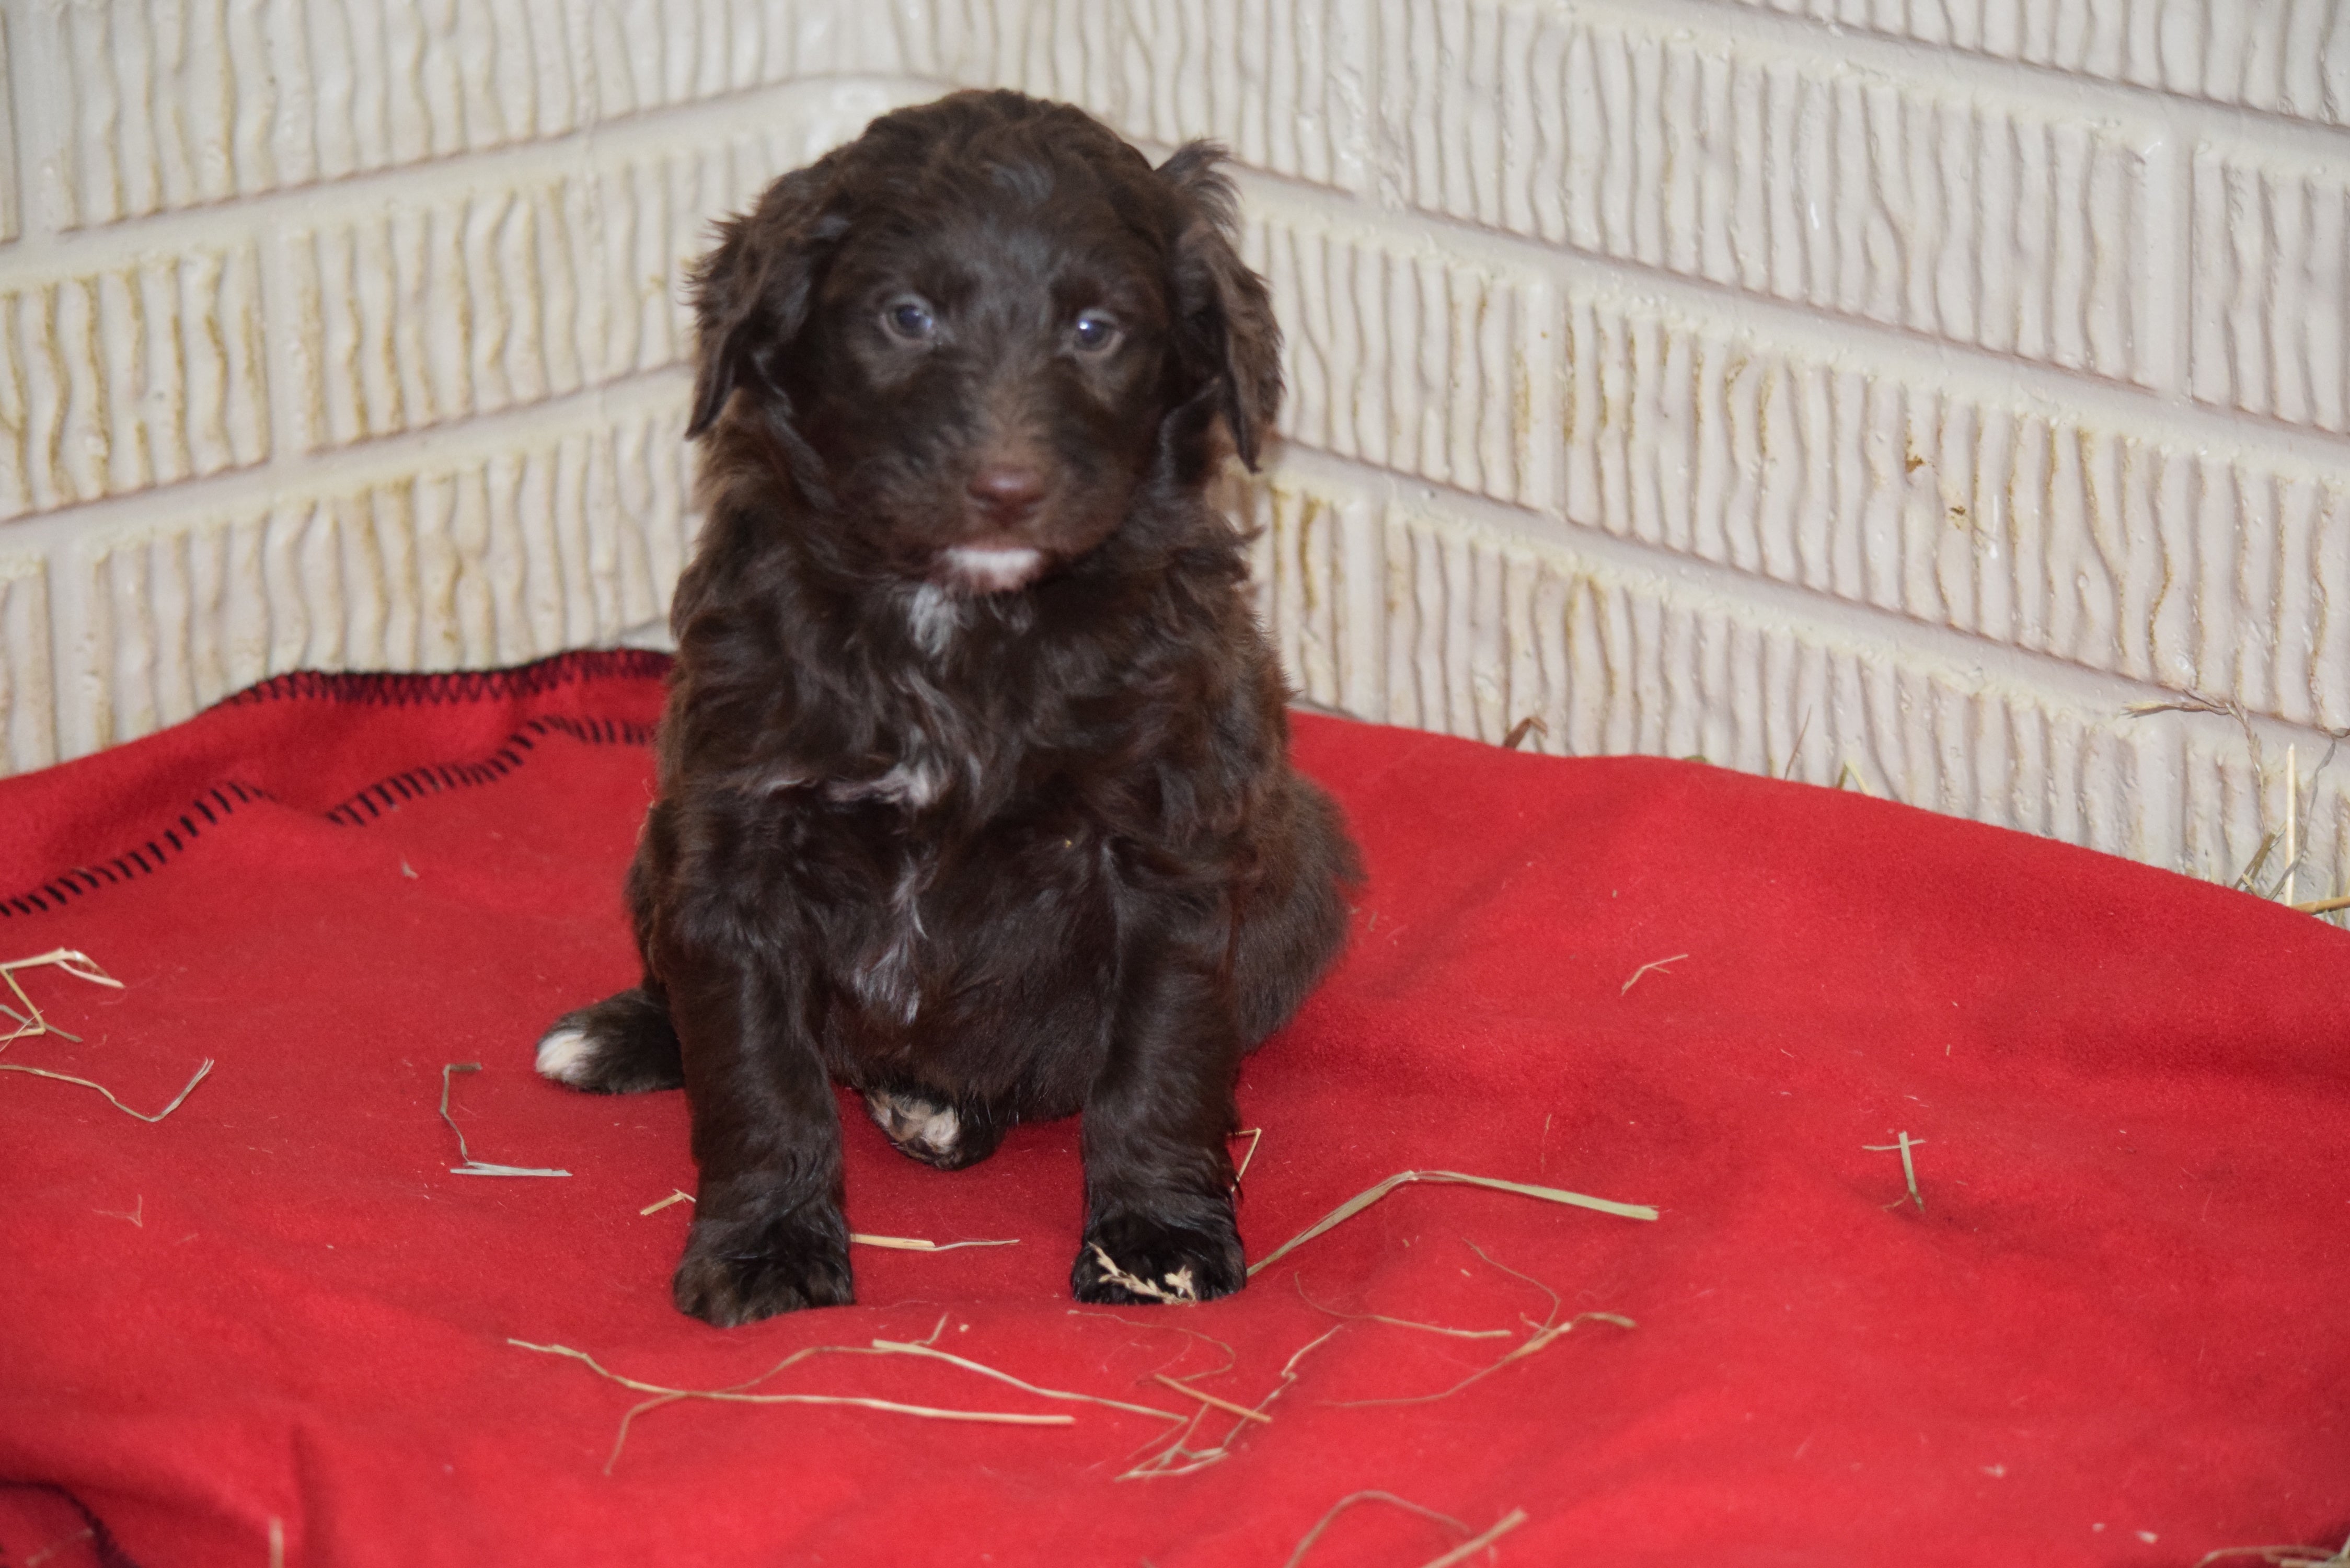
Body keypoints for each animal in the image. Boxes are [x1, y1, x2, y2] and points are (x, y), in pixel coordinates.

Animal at [538, 88, 1363, 1325]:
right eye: (907, 317)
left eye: (1095, 330)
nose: (1006, 491)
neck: (957, 617)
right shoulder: (734, 827)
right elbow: (754, 1068)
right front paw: (765, 1247)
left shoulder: (1168, 851)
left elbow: (1157, 1065)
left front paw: (1154, 1242)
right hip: (658, 842)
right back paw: (620, 1036)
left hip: (1299, 882)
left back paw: (936, 1111)